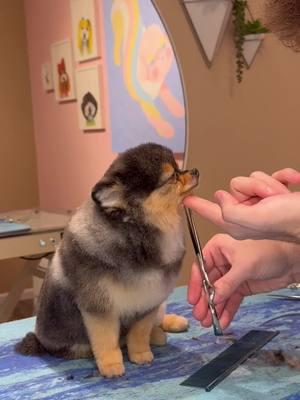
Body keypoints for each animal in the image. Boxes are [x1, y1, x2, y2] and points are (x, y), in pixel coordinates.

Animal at [16, 144, 199, 378]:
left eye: (178, 167)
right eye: (173, 176)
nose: (195, 171)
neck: (137, 239)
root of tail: (41, 342)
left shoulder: (148, 302)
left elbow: (139, 334)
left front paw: (141, 354)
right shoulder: (100, 307)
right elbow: (107, 341)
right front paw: (111, 365)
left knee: (158, 318)